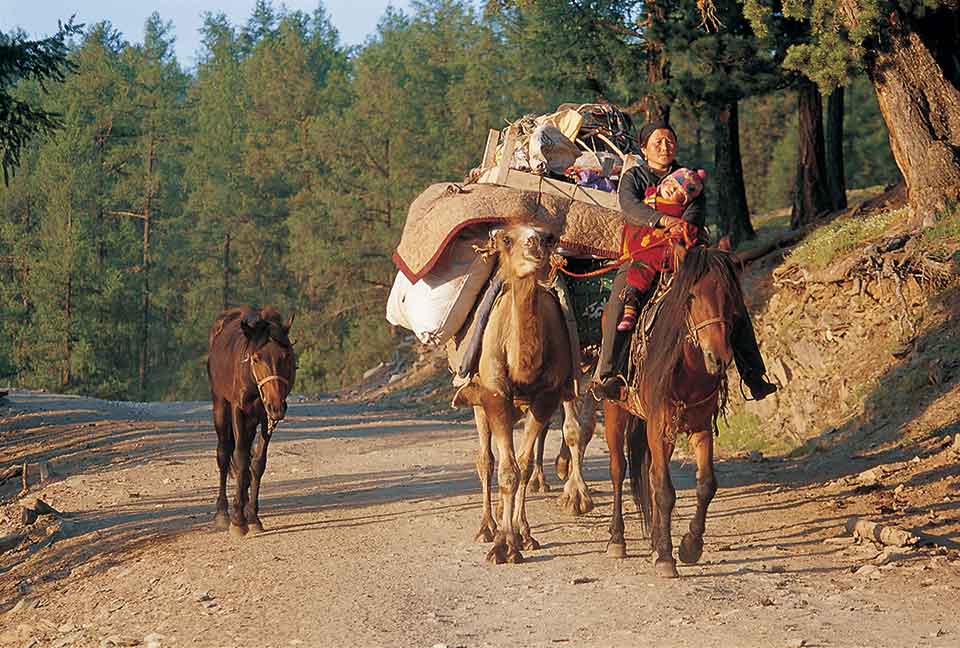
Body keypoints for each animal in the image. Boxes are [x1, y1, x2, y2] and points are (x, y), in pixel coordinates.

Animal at [203, 306, 290, 540]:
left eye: (285, 356)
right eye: (257, 358)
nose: (277, 406)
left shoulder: (266, 417)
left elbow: (257, 463)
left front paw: (252, 516)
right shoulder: (239, 411)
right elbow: (240, 459)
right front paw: (238, 521)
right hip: (220, 404)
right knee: (224, 454)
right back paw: (223, 513)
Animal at [604, 247, 740, 576]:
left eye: (729, 294)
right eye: (690, 295)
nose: (718, 358)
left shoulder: (700, 425)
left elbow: (706, 484)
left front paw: (690, 546)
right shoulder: (660, 424)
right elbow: (664, 489)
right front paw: (666, 556)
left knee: (651, 474)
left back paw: (654, 542)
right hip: (615, 411)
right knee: (618, 470)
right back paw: (618, 539)